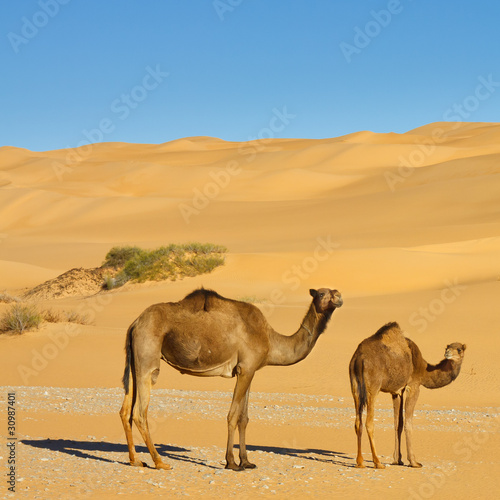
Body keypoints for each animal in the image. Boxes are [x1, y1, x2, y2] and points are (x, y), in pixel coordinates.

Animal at [350, 324, 466, 468]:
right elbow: (408, 423)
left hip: (355, 386)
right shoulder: (413, 386)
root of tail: (359, 358)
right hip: (373, 386)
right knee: (369, 422)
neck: (423, 369)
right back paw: (378, 462)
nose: (448, 353)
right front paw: (414, 462)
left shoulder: (397, 392)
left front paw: (397, 460)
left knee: (358, 422)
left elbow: (397, 424)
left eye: (459, 349)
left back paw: (360, 462)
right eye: (447, 347)